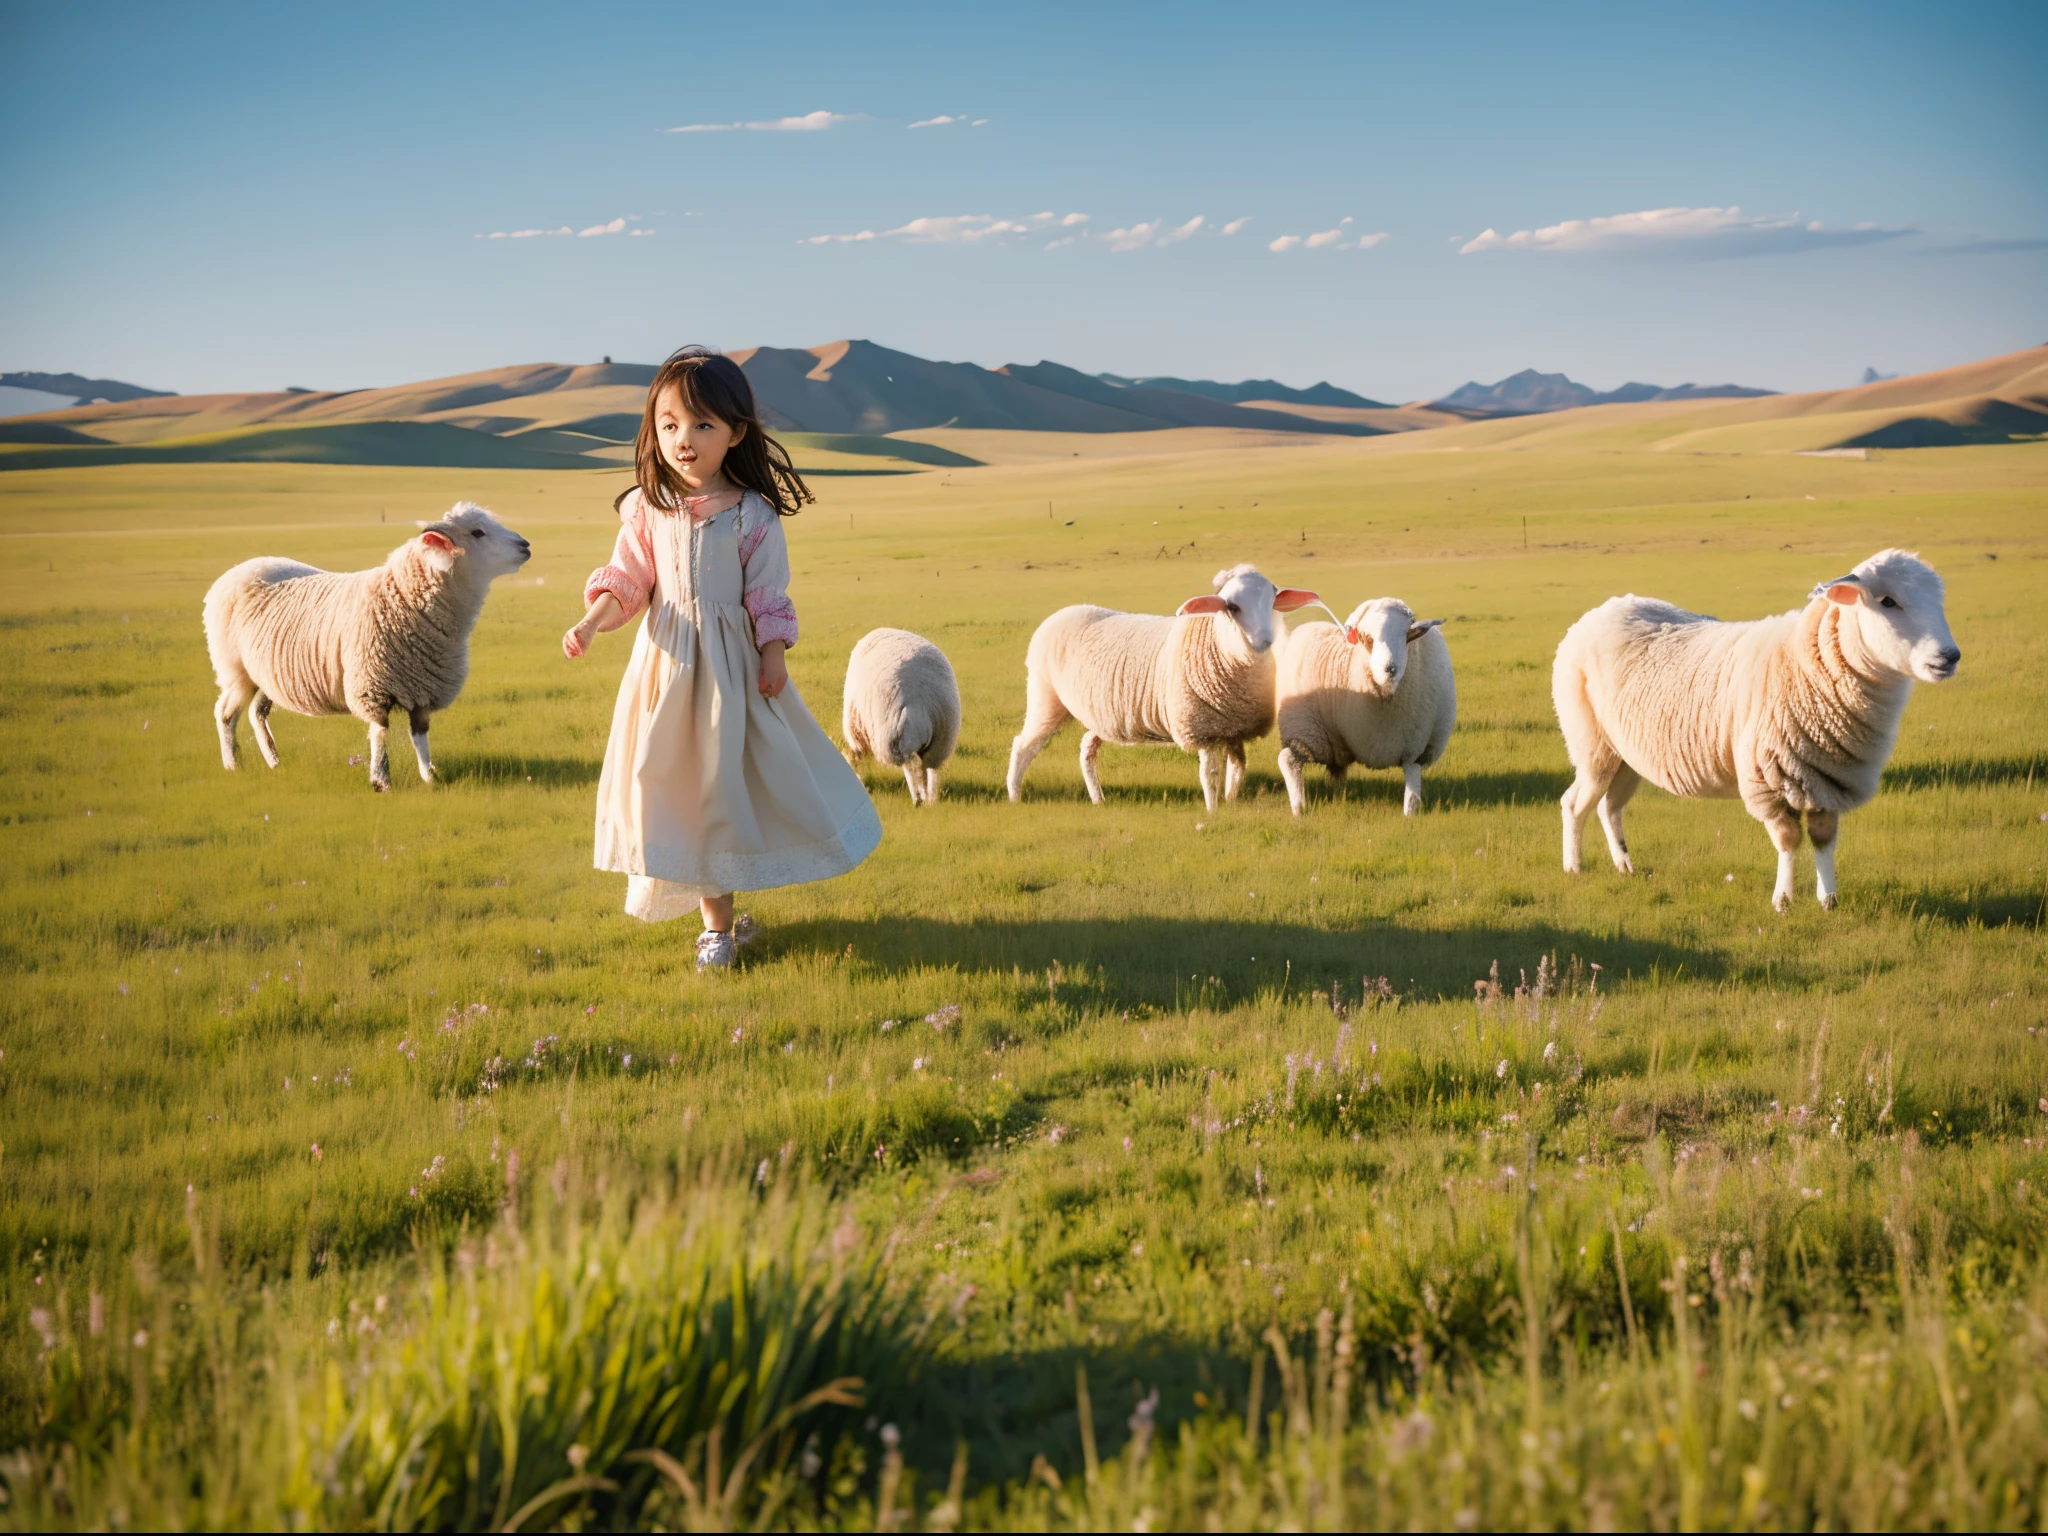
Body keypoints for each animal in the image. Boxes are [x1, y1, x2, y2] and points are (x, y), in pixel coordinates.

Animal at [201, 505, 528, 794]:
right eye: (477, 533)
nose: (526, 545)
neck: (402, 597)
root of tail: (241, 567)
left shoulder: (423, 687)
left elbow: (420, 735)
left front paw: (430, 776)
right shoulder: (372, 687)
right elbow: (379, 733)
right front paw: (381, 780)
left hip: (268, 673)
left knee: (257, 712)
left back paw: (274, 762)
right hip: (235, 670)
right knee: (225, 713)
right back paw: (233, 766)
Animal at [839, 626, 958, 806]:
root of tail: (918, 706)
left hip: (899, 742)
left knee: (912, 769)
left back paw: (918, 798)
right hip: (940, 742)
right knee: (929, 769)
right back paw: (930, 799)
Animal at [1007, 561, 1327, 811]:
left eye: (1273, 601)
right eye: (1233, 606)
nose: (1265, 641)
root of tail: (1061, 613)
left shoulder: (1234, 729)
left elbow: (1237, 768)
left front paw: (1231, 801)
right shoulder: (1201, 729)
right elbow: (1209, 773)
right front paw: (1213, 811)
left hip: (1098, 713)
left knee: (1087, 748)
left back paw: (1098, 798)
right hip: (1045, 696)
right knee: (1024, 746)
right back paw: (1014, 795)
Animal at [1277, 598, 1458, 819]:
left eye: (1407, 635)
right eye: (1369, 639)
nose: (1390, 669)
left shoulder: (1415, 749)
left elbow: (1413, 786)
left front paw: (1410, 815)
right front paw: (1298, 807)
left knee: (1337, 769)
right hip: (1309, 731)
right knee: (1289, 761)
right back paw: (1299, 807)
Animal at [1548, 552, 1966, 913]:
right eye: (1888, 601)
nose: (1949, 657)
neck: (1806, 663)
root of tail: (1602, 610)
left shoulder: (1829, 778)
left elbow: (1823, 838)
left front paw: (1828, 899)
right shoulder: (1771, 779)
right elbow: (1788, 839)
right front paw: (1783, 901)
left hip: (1627, 754)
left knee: (1609, 807)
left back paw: (1625, 866)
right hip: (1592, 744)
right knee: (1574, 803)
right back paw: (1574, 867)